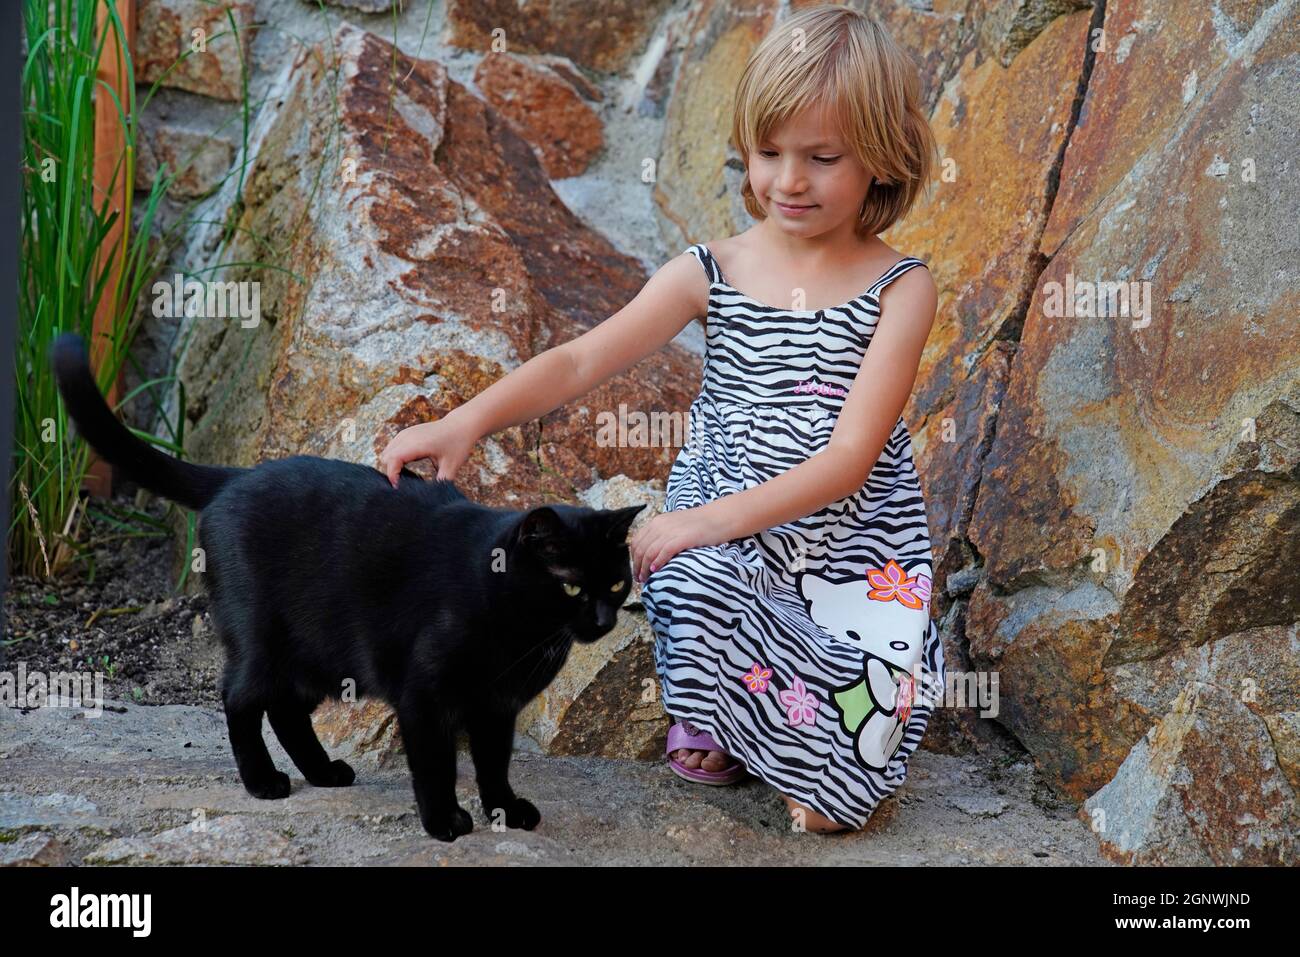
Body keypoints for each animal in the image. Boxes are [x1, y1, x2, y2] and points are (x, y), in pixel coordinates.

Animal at [54, 332, 644, 842]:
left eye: (616, 582)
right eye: (571, 587)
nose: (601, 620)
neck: (522, 630)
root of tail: (237, 476)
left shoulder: (496, 709)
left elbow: (494, 764)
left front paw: (504, 809)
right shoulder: (424, 696)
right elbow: (436, 764)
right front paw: (444, 822)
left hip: (320, 655)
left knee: (287, 709)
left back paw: (322, 771)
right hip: (265, 640)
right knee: (241, 698)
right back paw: (263, 782)